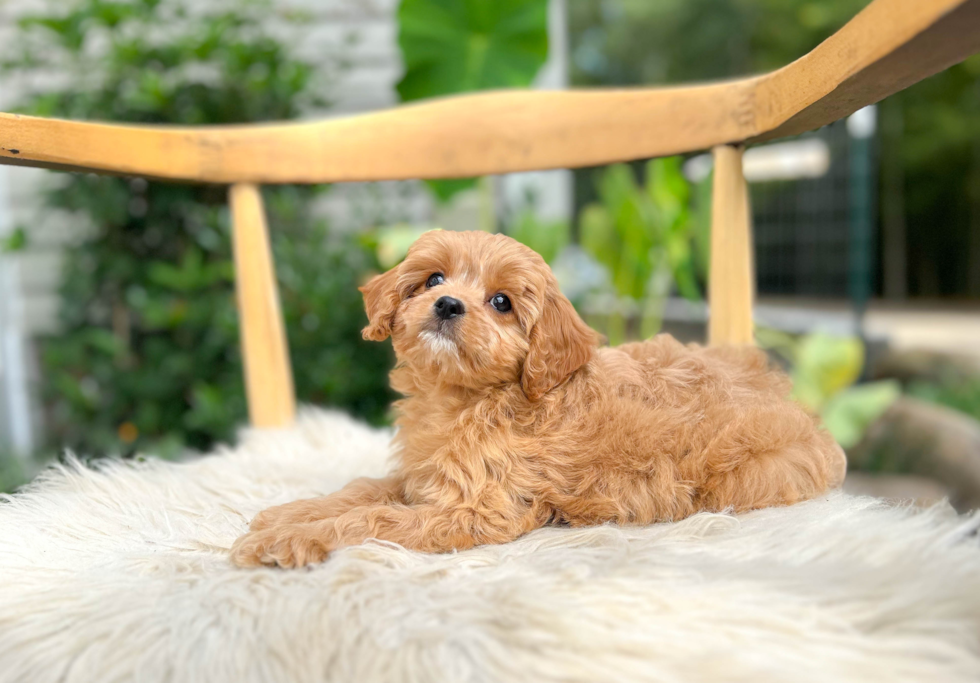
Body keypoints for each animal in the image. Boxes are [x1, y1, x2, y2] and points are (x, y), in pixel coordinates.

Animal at [230, 232, 844, 568]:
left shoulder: (475, 509)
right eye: (432, 279)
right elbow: (364, 490)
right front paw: (291, 512)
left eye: (501, 302)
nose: (448, 304)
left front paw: (288, 539)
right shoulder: (424, 474)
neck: (467, 399)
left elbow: (374, 517)